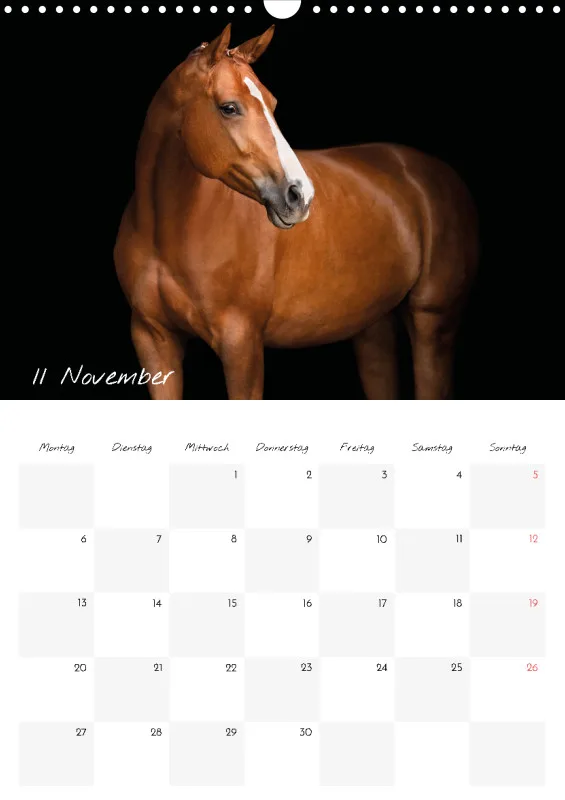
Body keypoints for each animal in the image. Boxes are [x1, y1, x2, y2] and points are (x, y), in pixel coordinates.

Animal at [114, 24, 479, 400]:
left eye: (272, 103)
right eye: (229, 107)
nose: (300, 195)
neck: (165, 230)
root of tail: (434, 174)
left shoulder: (241, 344)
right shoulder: (154, 340)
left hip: (433, 321)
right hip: (374, 325)